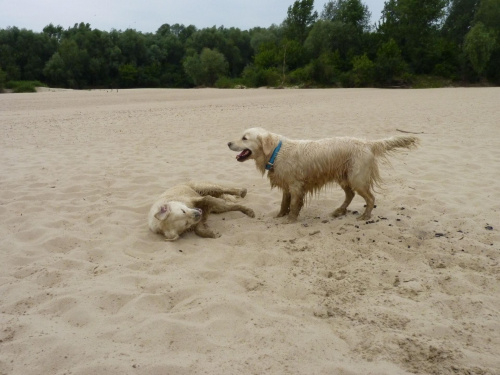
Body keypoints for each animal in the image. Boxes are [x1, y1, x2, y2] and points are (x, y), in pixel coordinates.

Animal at [229, 129, 420, 223]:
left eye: (244, 138)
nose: (228, 142)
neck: (277, 151)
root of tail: (368, 143)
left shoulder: (296, 186)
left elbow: (294, 205)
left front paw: (289, 220)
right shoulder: (287, 185)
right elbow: (284, 203)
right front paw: (280, 215)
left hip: (357, 178)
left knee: (371, 198)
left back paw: (365, 216)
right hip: (344, 177)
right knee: (350, 195)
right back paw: (339, 210)